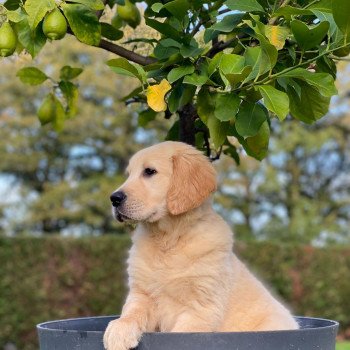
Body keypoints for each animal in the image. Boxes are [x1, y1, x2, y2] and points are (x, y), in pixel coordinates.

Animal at [102, 141, 298, 348]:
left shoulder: (201, 308)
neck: (169, 239)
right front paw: (118, 332)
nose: (114, 198)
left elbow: (181, 336)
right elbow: (131, 312)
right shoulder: (142, 293)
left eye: (149, 171)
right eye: (128, 174)